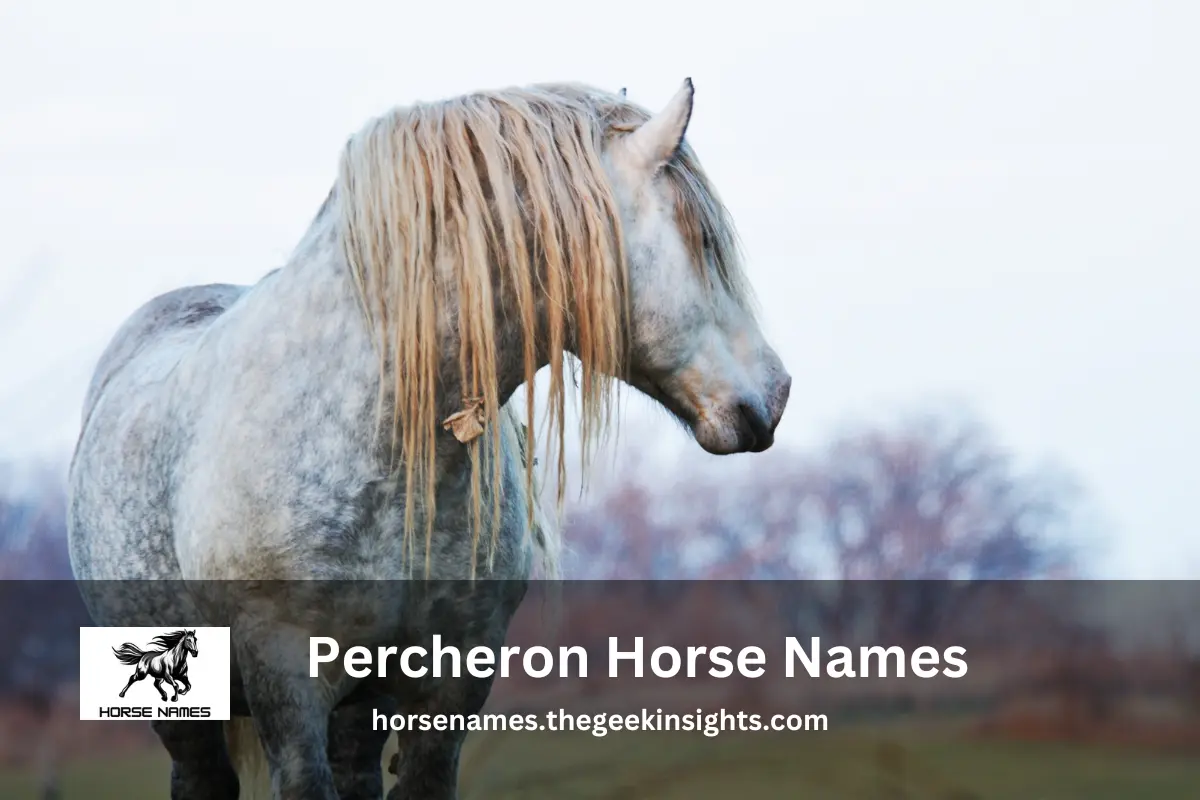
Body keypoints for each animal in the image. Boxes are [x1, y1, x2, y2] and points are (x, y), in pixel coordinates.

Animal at [66, 79, 791, 800]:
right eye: (703, 239)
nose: (777, 392)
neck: (378, 438)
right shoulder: (284, 679)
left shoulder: (453, 680)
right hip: (193, 713)